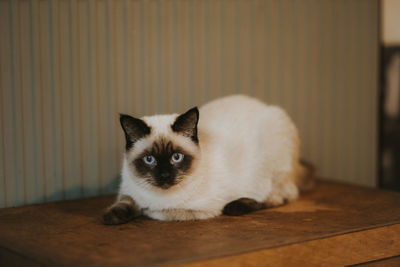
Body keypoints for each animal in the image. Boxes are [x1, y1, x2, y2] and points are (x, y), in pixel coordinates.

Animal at [101, 95, 312, 225]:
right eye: (149, 159)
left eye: (176, 157)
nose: (164, 176)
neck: (156, 197)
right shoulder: (128, 192)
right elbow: (126, 203)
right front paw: (110, 217)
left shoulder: (196, 210)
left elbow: (153, 211)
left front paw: (144, 211)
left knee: (279, 197)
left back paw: (236, 206)